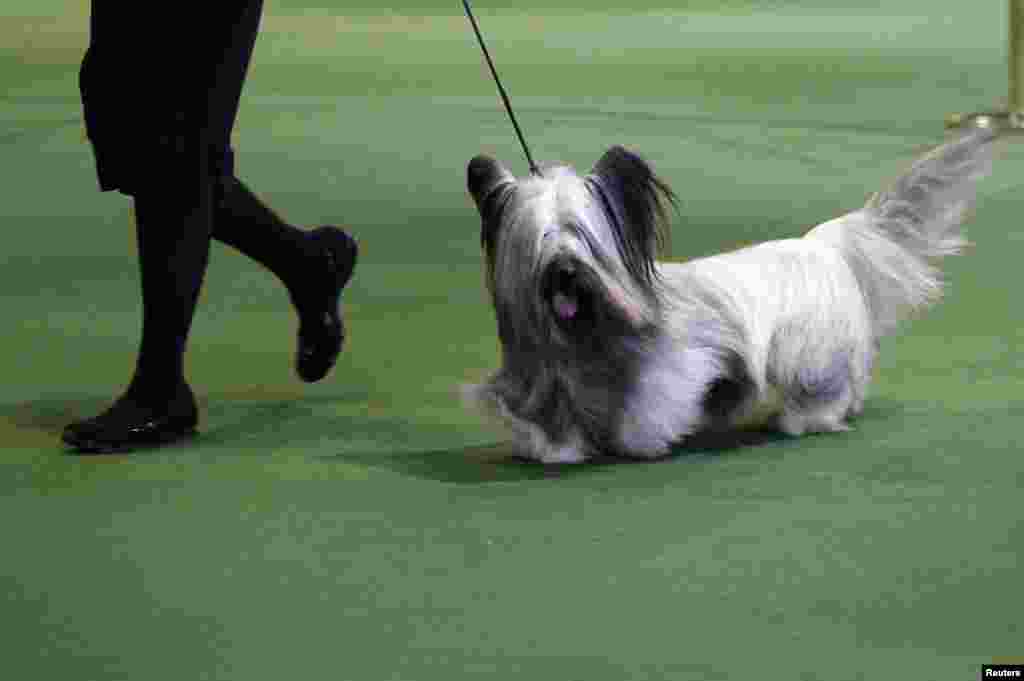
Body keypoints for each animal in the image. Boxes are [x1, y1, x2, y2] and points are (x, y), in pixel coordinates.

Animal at [464, 129, 999, 462]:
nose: (565, 269)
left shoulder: (671, 368)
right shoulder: (546, 374)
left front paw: (639, 442)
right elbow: (545, 415)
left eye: (580, 234)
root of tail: (823, 243)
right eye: (542, 239)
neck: (589, 331)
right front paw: (554, 448)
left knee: (822, 385)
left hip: (806, 347)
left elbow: (646, 408)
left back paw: (806, 420)